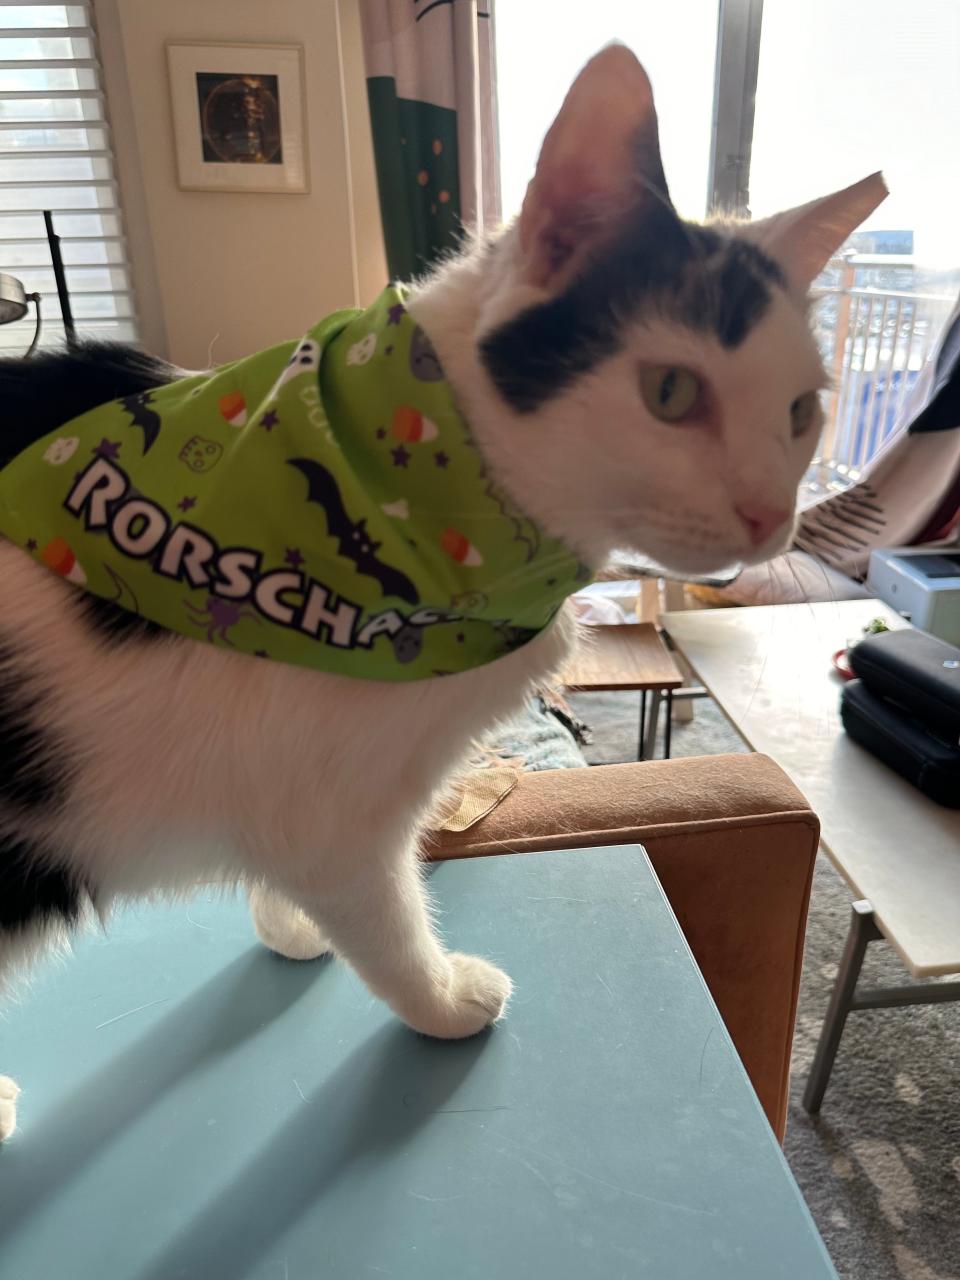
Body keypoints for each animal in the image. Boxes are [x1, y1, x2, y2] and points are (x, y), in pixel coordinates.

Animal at [0, 45, 885, 1141]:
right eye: (672, 392)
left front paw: (286, 923)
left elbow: (287, 879)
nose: (772, 517)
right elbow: (385, 921)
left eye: (802, 411)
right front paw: (444, 1002)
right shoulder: (336, 820)